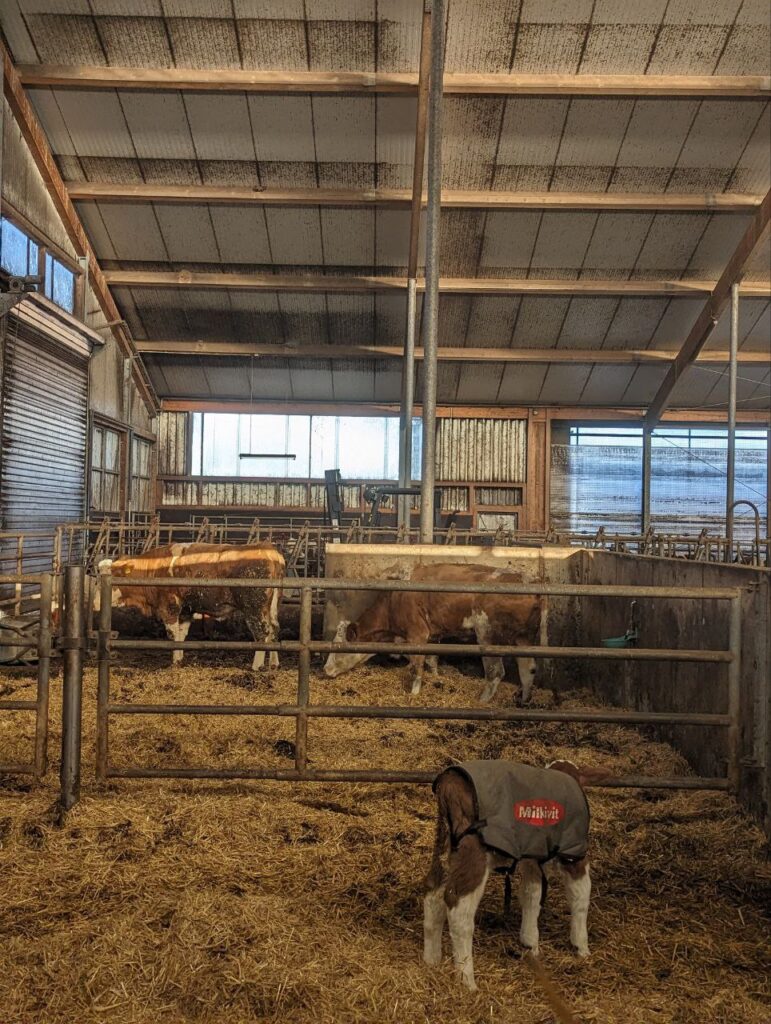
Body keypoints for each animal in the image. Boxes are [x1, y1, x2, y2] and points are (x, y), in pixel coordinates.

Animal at [98, 543, 285, 670]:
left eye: (112, 575)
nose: (95, 604)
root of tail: (268, 549)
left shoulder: (169, 607)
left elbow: (173, 634)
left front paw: (174, 662)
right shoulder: (186, 610)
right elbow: (181, 635)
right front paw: (180, 659)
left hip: (254, 609)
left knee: (262, 633)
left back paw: (256, 666)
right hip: (272, 608)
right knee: (274, 630)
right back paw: (274, 664)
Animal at [323, 563, 542, 703]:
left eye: (339, 648)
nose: (325, 670)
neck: (394, 598)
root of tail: (525, 580)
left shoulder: (417, 634)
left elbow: (417, 665)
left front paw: (414, 694)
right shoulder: (433, 636)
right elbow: (432, 660)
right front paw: (437, 679)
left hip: (487, 636)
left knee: (495, 672)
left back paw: (482, 702)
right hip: (524, 638)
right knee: (528, 668)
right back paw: (524, 700)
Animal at [423, 759, 611, 991]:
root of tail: (450, 781)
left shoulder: (532, 856)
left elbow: (532, 894)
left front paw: (530, 944)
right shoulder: (574, 852)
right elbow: (581, 897)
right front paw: (582, 947)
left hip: (445, 843)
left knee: (432, 893)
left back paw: (431, 960)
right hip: (473, 848)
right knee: (458, 908)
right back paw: (467, 980)